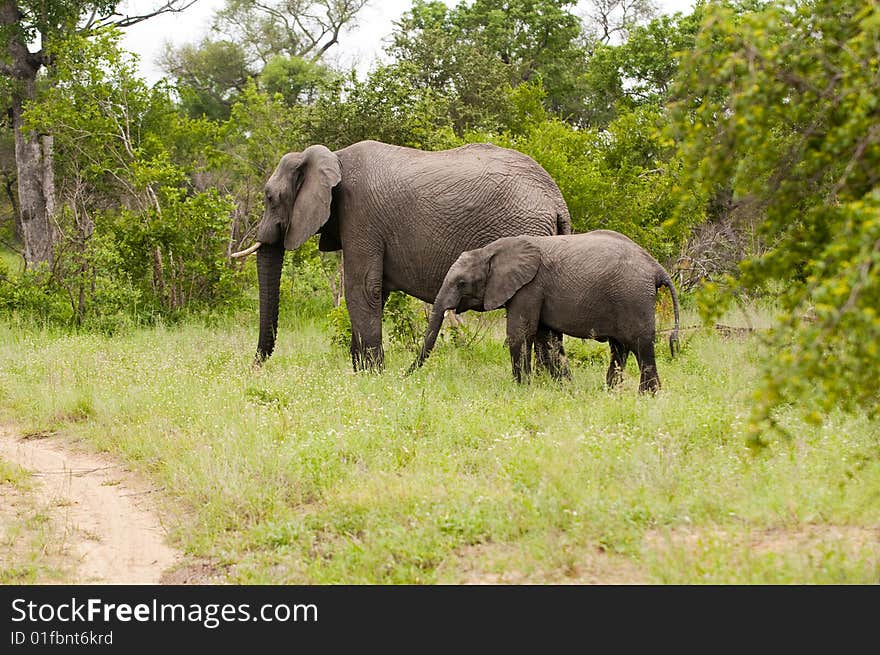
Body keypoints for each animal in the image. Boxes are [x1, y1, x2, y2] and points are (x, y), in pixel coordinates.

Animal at [234, 138, 572, 368]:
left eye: (269, 197)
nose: (254, 366)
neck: (335, 156)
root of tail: (557, 200)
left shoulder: (361, 216)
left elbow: (362, 289)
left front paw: (372, 375)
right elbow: (375, 292)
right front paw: (360, 373)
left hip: (526, 229)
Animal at [410, 231, 680, 394]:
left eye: (461, 283)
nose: (406, 375)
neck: (490, 251)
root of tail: (657, 268)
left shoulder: (529, 287)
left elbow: (520, 334)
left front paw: (521, 388)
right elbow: (546, 339)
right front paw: (566, 389)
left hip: (634, 297)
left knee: (641, 346)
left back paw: (648, 395)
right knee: (619, 348)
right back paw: (611, 392)